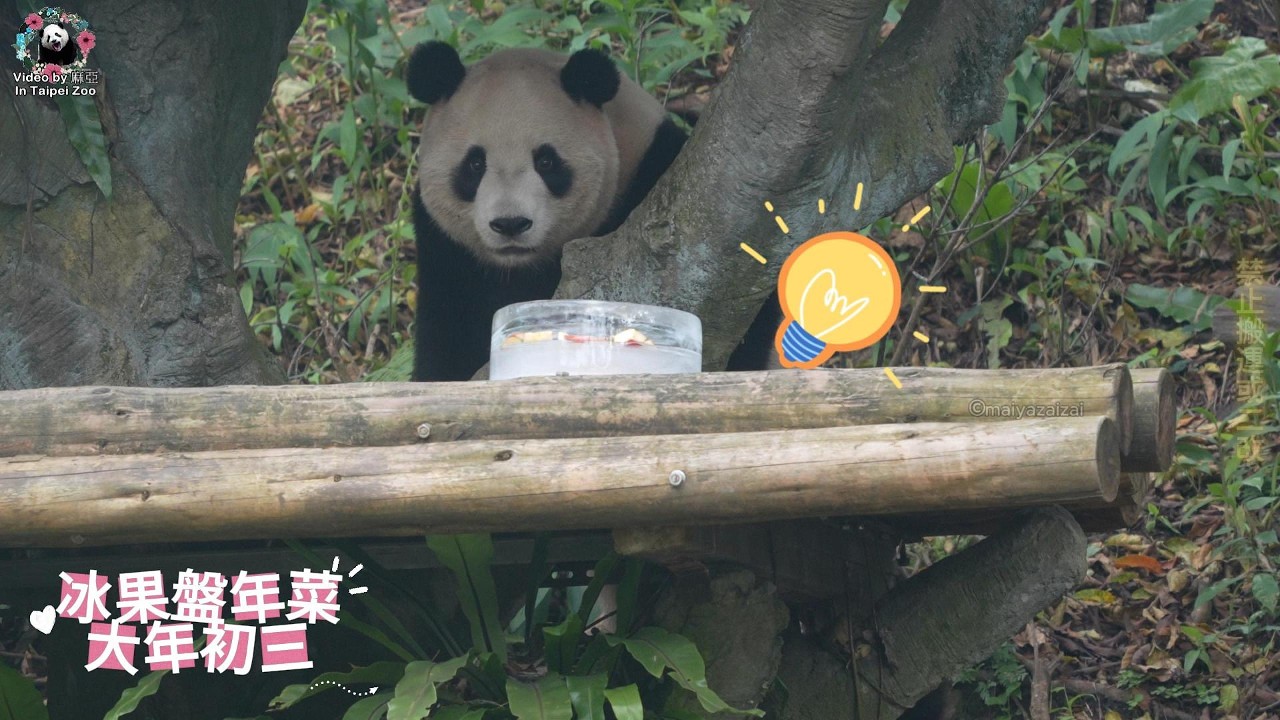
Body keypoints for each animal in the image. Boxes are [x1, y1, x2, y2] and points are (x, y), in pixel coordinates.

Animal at [405, 41, 689, 381]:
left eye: (546, 162)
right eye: (474, 164)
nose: (510, 224)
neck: (518, 267)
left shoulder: (654, 165)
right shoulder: (445, 249)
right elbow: (446, 334)